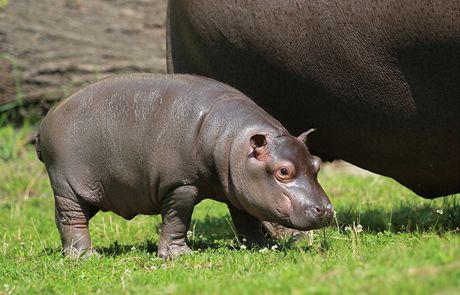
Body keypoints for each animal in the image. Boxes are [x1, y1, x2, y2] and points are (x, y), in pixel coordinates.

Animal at [34, 74, 332, 260]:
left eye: (316, 164)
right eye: (283, 171)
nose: (327, 210)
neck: (232, 142)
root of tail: (46, 119)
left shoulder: (237, 188)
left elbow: (247, 218)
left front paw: (262, 245)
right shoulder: (181, 186)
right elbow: (177, 219)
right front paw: (178, 255)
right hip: (68, 187)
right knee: (71, 219)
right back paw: (86, 256)